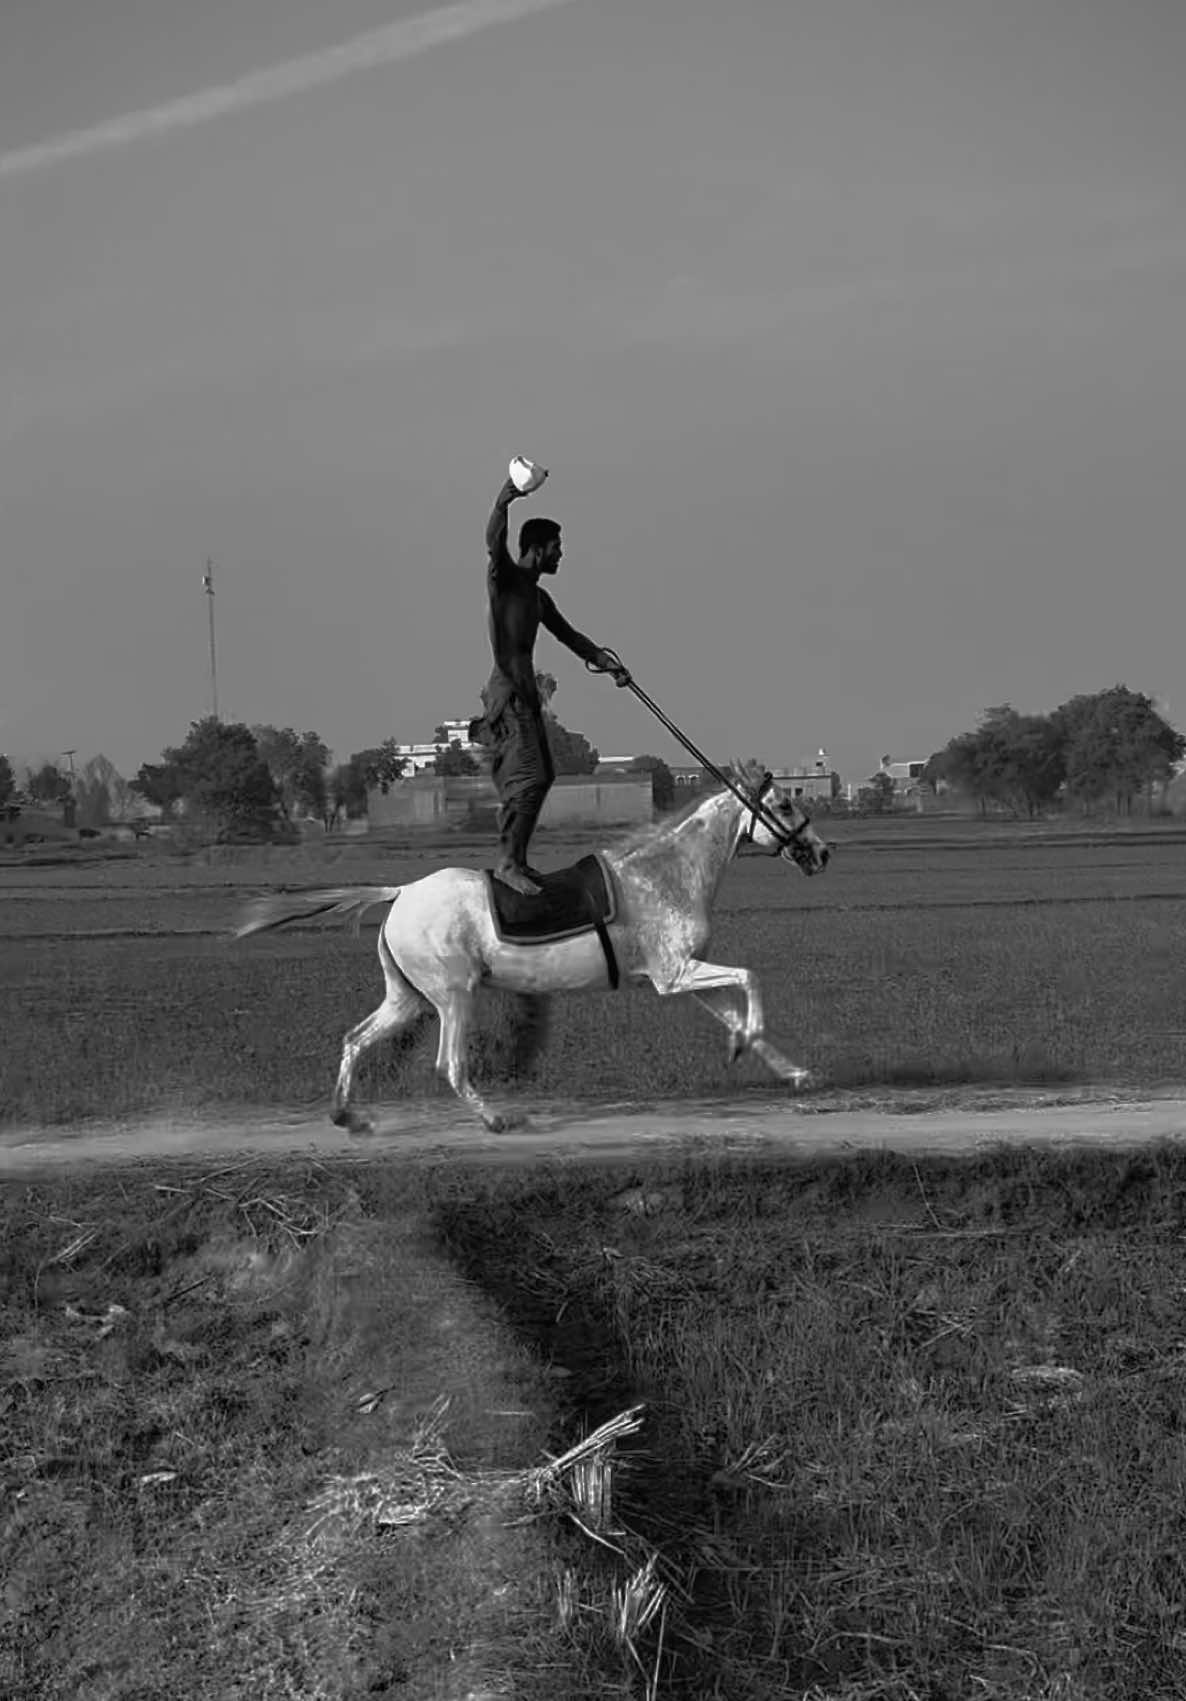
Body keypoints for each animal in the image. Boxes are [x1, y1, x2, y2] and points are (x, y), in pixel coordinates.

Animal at [236, 765, 826, 1136]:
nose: (820, 853)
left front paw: (791, 1071)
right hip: (453, 996)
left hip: (407, 999)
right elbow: (750, 978)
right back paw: (498, 1120)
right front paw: (746, 1050)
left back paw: (349, 1118)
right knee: (449, 1064)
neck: (662, 876)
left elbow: (741, 1014)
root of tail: (400, 893)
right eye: (784, 802)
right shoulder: (676, 974)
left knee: (355, 1039)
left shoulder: (685, 978)